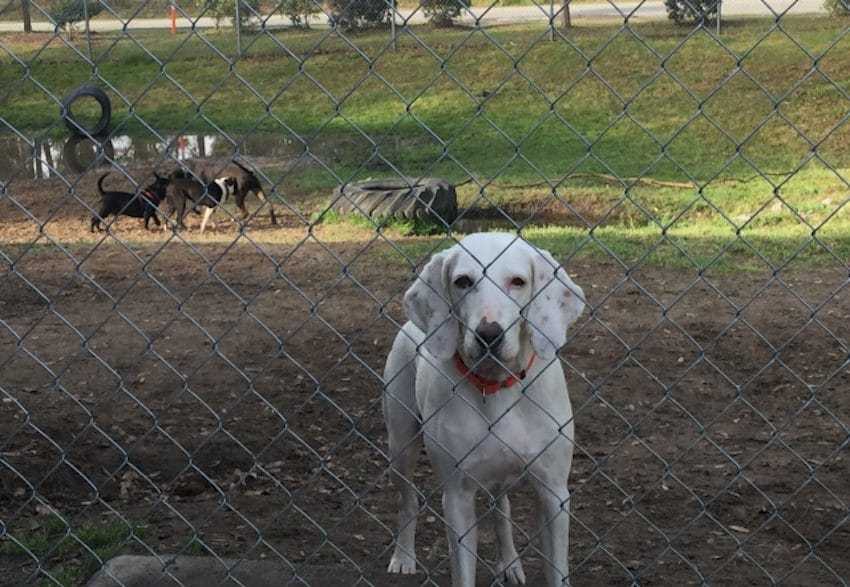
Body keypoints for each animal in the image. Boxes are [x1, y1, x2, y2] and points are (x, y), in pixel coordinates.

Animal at [382, 234, 584, 587]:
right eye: (463, 281)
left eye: (518, 281)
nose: (489, 334)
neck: (497, 387)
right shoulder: (457, 497)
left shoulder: (554, 494)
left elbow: (556, 570)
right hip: (401, 445)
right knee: (408, 500)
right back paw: (404, 556)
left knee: (501, 508)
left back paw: (510, 563)